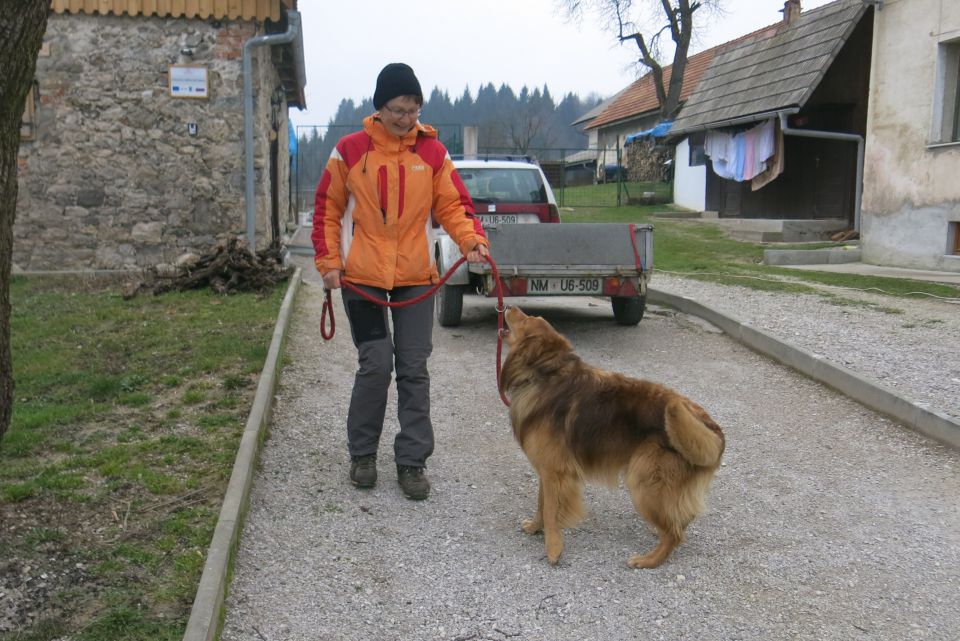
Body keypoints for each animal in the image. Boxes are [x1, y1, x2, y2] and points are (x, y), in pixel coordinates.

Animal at [498, 308, 724, 568]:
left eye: (526, 320)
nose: (509, 307)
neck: (545, 373)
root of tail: (710, 426)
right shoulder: (547, 472)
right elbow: (541, 505)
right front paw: (535, 528)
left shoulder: (554, 472)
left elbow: (550, 511)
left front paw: (553, 550)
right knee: (679, 522)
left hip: (644, 484)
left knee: (674, 534)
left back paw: (648, 560)